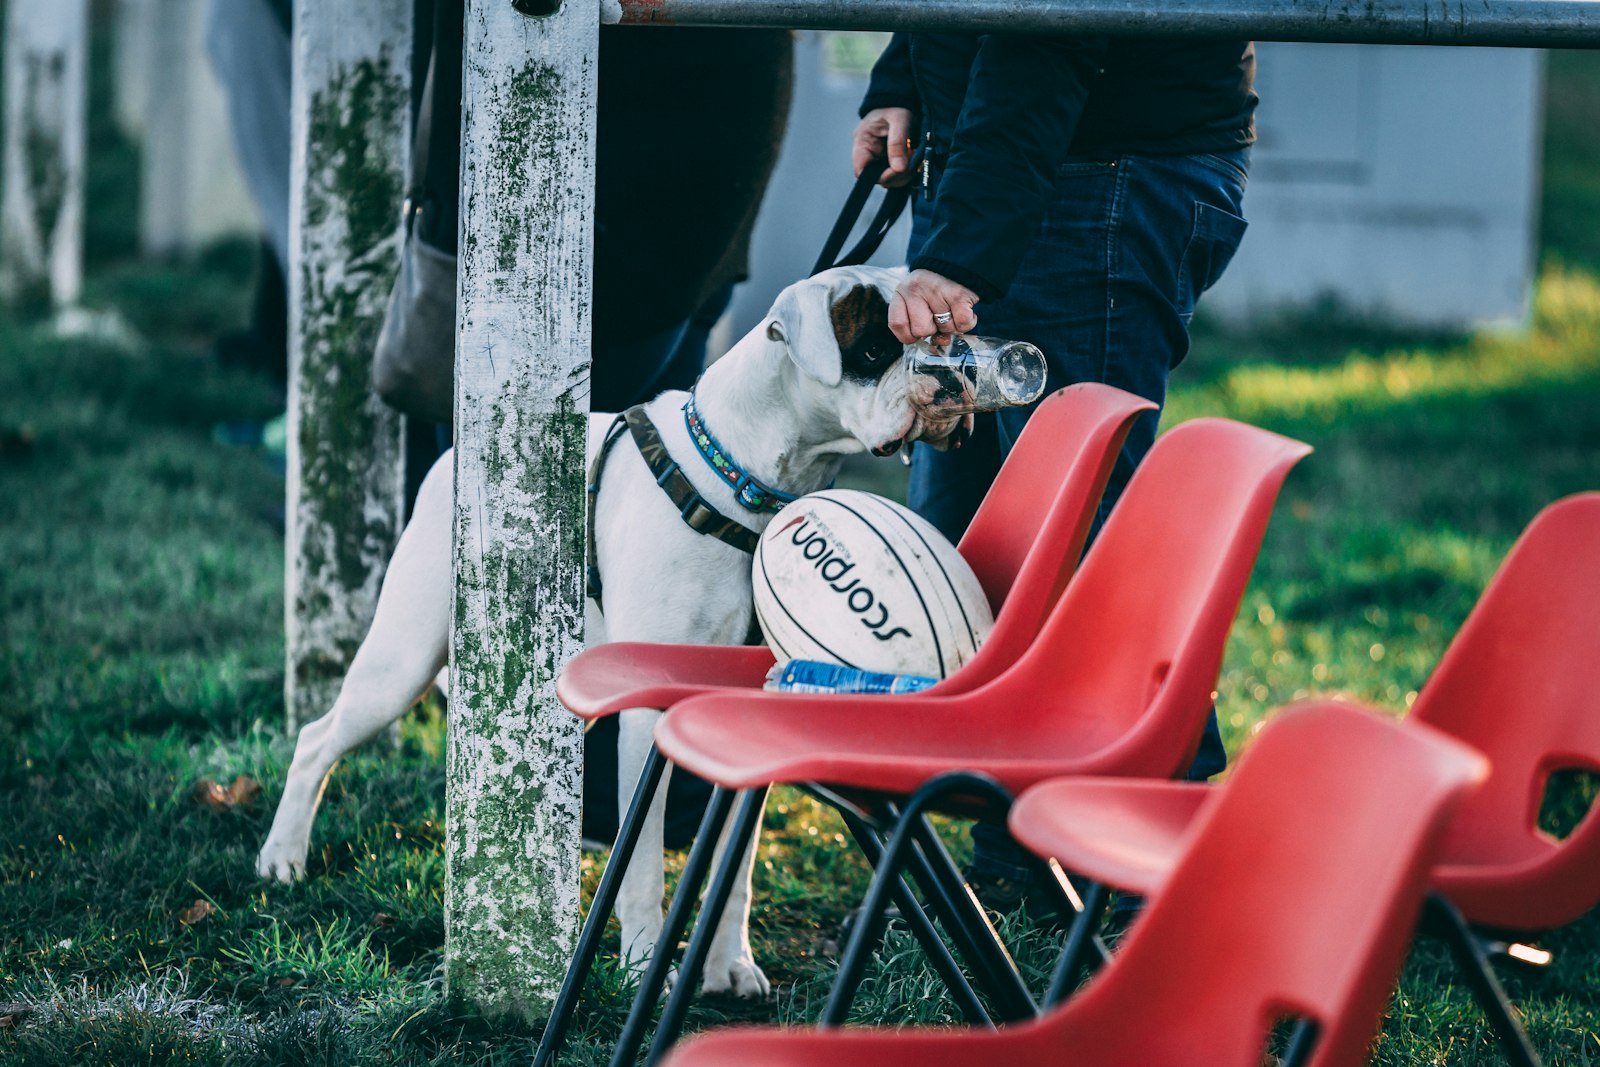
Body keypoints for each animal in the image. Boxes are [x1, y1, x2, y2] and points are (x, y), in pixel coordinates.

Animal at [256, 267, 966, 1004]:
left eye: (944, 340)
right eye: (877, 350)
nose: (949, 378)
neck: (743, 482)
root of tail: (452, 457)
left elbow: (734, 864)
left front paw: (728, 963)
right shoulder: (647, 715)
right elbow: (645, 863)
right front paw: (642, 961)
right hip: (401, 664)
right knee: (316, 740)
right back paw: (282, 857)